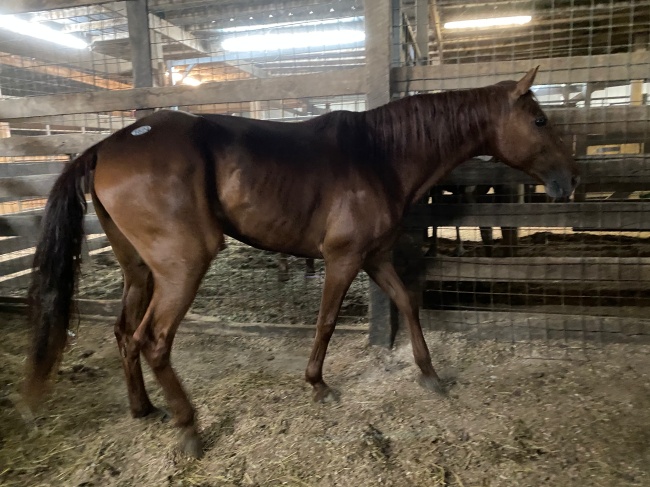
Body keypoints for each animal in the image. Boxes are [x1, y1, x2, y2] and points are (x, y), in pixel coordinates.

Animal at [23, 67, 578, 458]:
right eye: (539, 120)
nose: (571, 180)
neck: (380, 155)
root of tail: (105, 145)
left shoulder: (375, 257)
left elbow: (407, 304)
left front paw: (430, 374)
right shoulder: (344, 258)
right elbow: (327, 321)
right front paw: (318, 384)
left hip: (139, 270)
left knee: (124, 334)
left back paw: (144, 409)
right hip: (182, 267)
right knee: (153, 340)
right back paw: (190, 428)